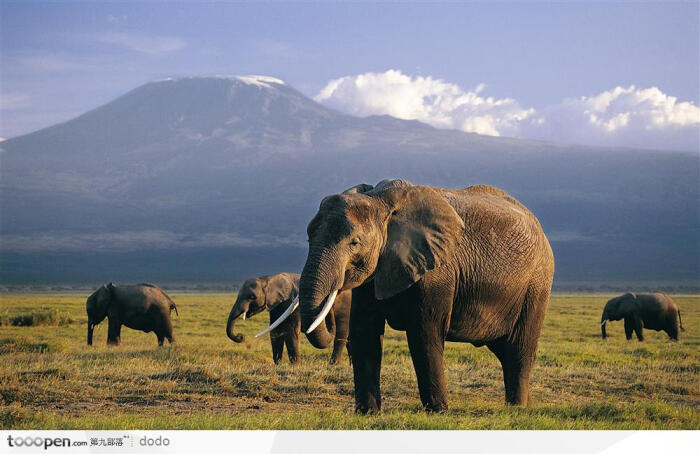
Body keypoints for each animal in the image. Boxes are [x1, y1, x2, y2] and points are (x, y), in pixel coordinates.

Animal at [278, 179, 552, 414]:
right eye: (308, 236)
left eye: (354, 242)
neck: (381, 201)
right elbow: (365, 333)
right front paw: (367, 414)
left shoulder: (437, 271)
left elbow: (424, 334)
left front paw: (438, 411)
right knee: (504, 351)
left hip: (537, 285)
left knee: (519, 350)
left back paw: (517, 407)